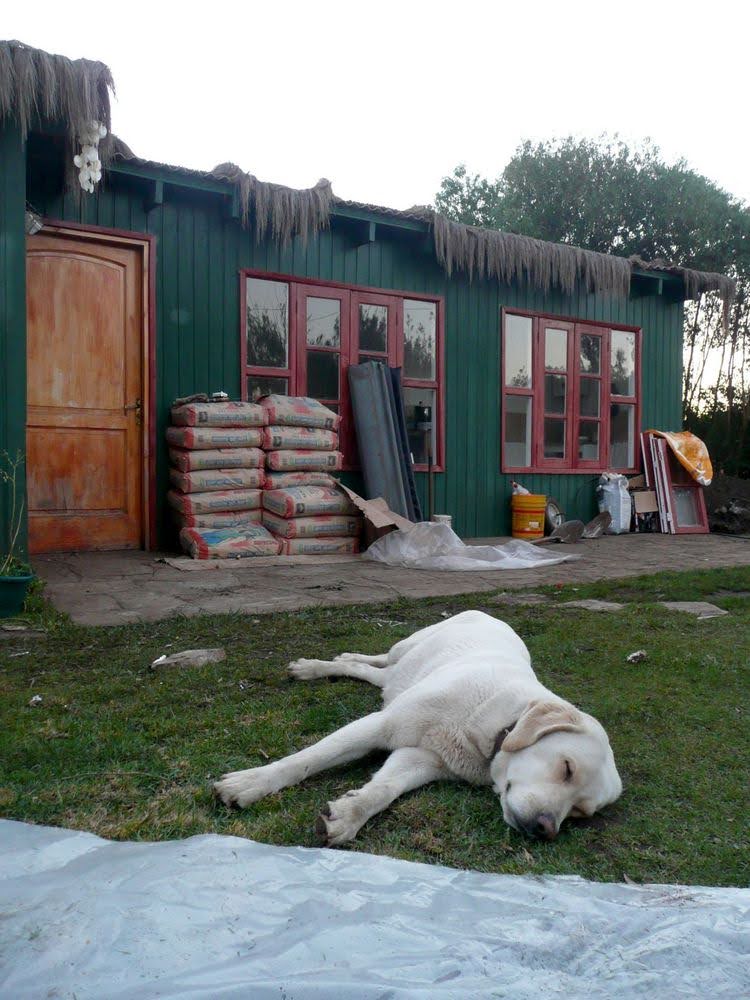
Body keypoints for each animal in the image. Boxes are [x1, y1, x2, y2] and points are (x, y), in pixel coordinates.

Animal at [214, 608, 624, 844]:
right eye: (567, 768)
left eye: (579, 813)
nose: (545, 829)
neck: (492, 725)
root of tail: (490, 614)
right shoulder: (380, 724)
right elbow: (307, 759)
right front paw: (250, 783)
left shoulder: (421, 758)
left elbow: (383, 789)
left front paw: (348, 815)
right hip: (409, 644)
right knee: (378, 658)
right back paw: (316, 666)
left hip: (400, 675)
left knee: (375, 674)